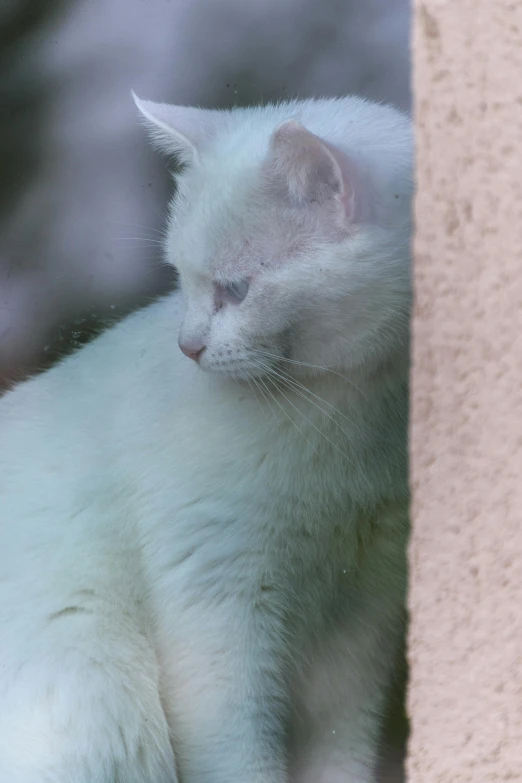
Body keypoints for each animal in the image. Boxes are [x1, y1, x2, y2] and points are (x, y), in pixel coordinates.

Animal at [0, 95, 410, 780]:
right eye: (181, 278)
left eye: (235, 289)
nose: (187, 347)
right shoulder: (218, 607)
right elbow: (239, 756)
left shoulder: (362, 622)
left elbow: (342, 756)